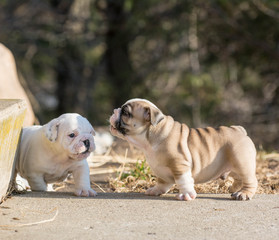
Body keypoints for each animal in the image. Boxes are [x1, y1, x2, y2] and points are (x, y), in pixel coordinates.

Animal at [109, 97, 258, 201]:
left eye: (126, 113)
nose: (115, 110)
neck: (150, 139)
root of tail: (239, 130)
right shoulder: (161, 170)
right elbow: (162, 182)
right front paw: (155, 190)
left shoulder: (180, 165)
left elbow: (183, 181)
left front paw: (186, 195)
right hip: (231, 166)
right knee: (238, 178)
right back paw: (233, 189)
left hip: (241, 162)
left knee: (250, 180)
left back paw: (243, 194)